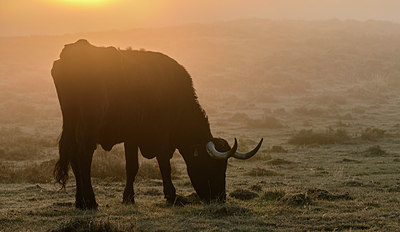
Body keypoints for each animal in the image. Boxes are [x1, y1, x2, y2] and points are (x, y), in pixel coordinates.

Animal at [51, 39, 262, 209]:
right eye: (212, 165)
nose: (219, 198)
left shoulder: (132, 136)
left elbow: (132, 167)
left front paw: (129, 198)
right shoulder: (160, 135)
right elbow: (164, 165)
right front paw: (172, 196)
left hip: (70, 123)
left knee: (73, 156)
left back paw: (79, 202)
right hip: (89, 126)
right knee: (83, 157)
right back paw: (91, 202)